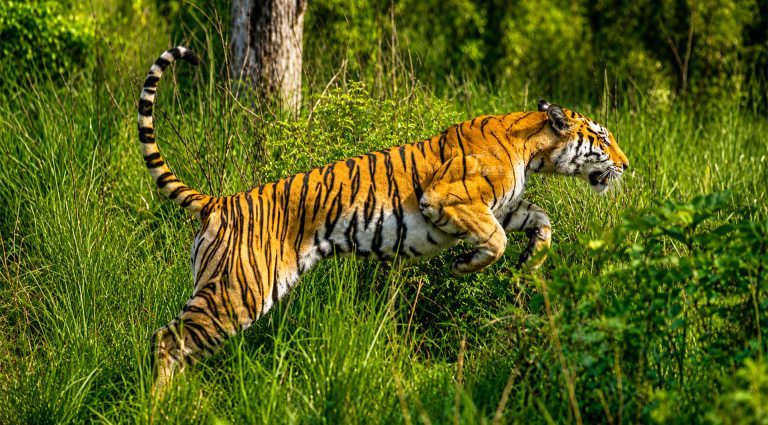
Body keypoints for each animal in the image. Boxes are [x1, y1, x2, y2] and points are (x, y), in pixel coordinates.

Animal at [138, 46, 629, 391]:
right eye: (603, 138)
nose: (626, 166)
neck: (534, 148)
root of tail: (221, 202)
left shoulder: (502, 205)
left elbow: (540, 218)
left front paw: (532, 259)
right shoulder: (449, 198)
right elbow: (495, 240)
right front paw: (466, 265)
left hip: (221, 284)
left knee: (177, 341)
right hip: (240, 289)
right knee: (167, 338)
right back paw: (162, 404)